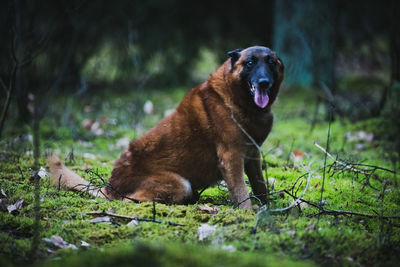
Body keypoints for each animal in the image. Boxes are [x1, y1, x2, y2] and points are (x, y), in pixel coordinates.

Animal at [48, 45, 282, 209]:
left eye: (271, 62)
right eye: (250, 63)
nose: (263, 82)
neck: (241, 103)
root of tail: (109, 187)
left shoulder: (252, 156)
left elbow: (260, 186)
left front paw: (269, 209)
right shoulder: (231, 157)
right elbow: (242, 193)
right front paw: (249, 214)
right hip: (181, 184)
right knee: (129, 201)